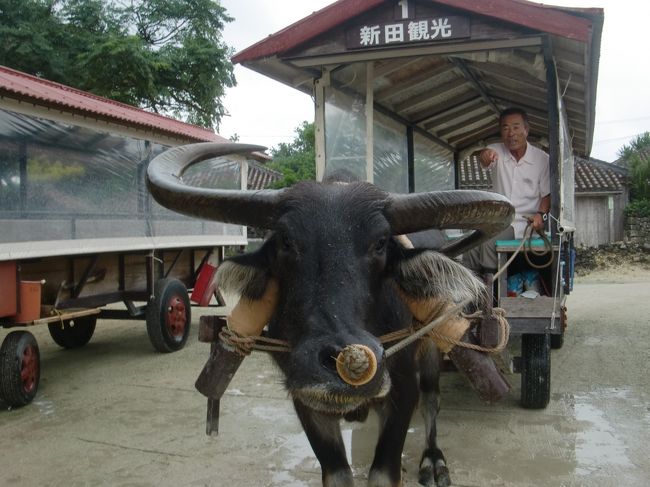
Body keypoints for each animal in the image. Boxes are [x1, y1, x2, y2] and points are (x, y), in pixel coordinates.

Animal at [146, 143, 512, 486]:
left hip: (433, 347)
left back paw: (433, 461)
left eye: (381, 243)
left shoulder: (404, 384)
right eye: (286, 241)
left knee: (433, 400)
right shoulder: (305, 396)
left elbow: (384, 470)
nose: (340, 357)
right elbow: (336, 473)